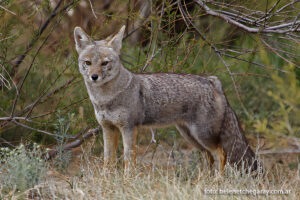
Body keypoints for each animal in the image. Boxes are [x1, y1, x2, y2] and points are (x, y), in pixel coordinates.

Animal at [74, 25, 258, 173]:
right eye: (88, 63)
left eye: (105, 63)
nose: (94, 77)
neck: (105, 99)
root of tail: (212, 80)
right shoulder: (108, 128)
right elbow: (108, 161)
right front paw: (107, 181)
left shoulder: (129, 128)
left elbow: (128, 161)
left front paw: (126, 182)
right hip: (192, 137)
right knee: (210, 157)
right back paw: (201, 182)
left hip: (202, 134)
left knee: (221, 154)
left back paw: (216, 183)